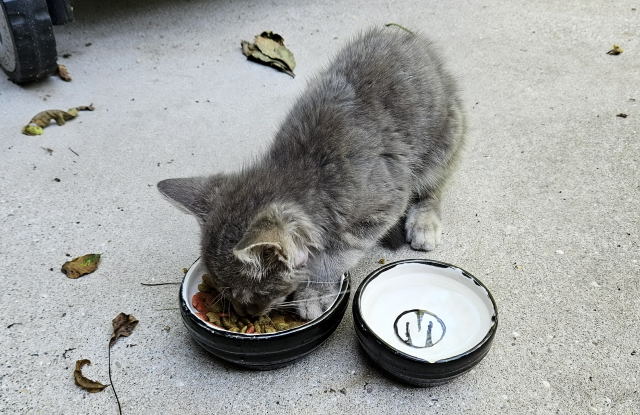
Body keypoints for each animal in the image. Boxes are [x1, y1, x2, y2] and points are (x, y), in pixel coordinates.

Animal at [158, 28, 468, 322]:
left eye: (252, 294)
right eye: (224, 292)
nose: (246, 314)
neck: (304, 171)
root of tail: (413, 41)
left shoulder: (383, 205)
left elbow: (333, 258)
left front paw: (313, 292)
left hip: (442, 143)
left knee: (433, 187)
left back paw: (424, 222)